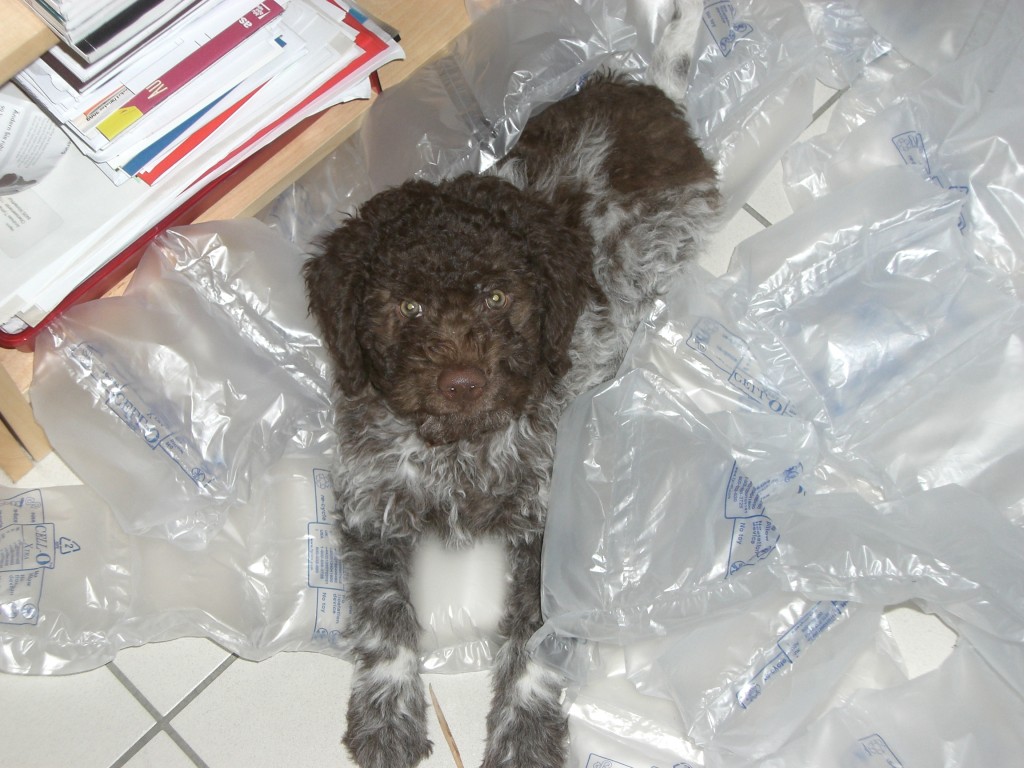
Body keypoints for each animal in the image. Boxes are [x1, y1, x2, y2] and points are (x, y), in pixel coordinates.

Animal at [303, 15, 719, 768]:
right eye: (407, 306)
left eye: (498, 297)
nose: (463, 382)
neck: (458, 451)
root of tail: (647, 92)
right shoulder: (371, 512)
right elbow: (384, 623)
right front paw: (386, 717)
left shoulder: (548, 530)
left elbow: (535, 645)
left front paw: (525, 734)